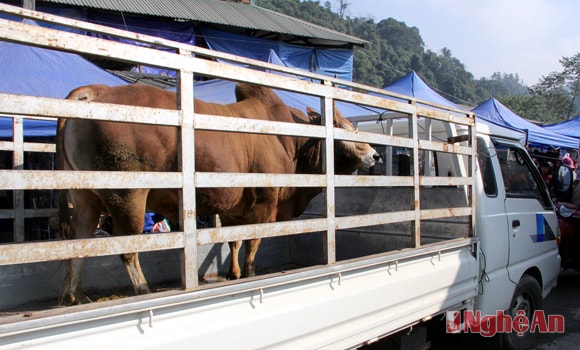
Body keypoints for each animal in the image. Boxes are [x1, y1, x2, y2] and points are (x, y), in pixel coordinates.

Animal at [56, 82, 378, 304]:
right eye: (344, 130)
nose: (375, 155)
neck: (291, 141)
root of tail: (95, 92)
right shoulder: (265, 203)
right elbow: (252, 242)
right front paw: (248, 273)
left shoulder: (236, 208)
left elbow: (234, 242)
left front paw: (233, 273)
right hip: (128, 196)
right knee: (126, 249)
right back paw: (142, 289)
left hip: (84, 196)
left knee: (79, 237)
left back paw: (74, 295)